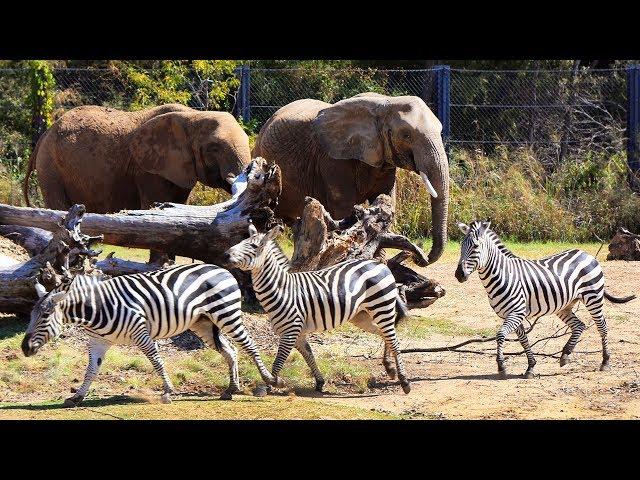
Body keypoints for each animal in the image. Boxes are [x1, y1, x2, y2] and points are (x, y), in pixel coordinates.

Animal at [22, 262, 280, 404]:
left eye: (45, 316)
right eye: (31, 315)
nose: (24, 349)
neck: (95, 309)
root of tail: (221, 269)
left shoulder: (141, 333)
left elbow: (156, 361)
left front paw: (167, 392)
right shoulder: (97, 342)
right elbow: (91, 371)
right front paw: (77, 397)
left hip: (226, 313)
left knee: (249, 345)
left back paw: (269, 380)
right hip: (204, 323)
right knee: (231, 350)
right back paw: (231, 389)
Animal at [222, 224, 412, 394]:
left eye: (254, 246)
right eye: (242, 242)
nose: (225, 255)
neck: (282, 289)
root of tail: (379, 264)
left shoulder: (290, 331)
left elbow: (278, 361)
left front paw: (269, 384)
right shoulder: (298, 334)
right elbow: (309, 355)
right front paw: (319, 382)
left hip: (382, 306)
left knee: (394, 340)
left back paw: (404, 381)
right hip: (361, 316)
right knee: (386, 335)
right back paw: (390, 369)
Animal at [251, 92, 450, 264]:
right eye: (406, 135)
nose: (420, 259)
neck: (385, 103)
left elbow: (386, 201)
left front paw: (378, 262)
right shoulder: (332, 159)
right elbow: (343, 206)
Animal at [456, 221, 636, 378]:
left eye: (476, 246)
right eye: (461, 246)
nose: (459, 275)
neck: (503, 274)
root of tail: (586, 253)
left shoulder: (516, 312)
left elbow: (500, 335)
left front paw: (501, 366)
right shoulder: (513, 315)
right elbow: (523, 340)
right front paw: (531, 366)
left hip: (594, 297)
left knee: (602, 327)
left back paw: (605, 362)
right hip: (565, 306)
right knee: (579, 325)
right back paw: (565, 355)